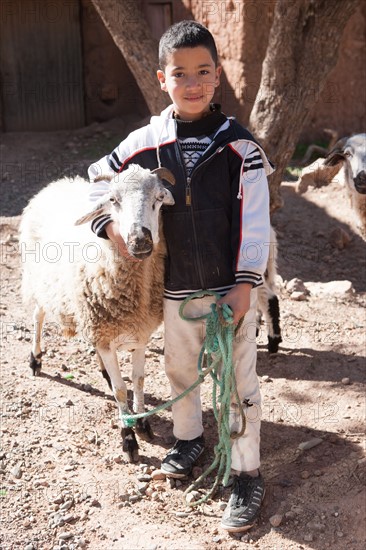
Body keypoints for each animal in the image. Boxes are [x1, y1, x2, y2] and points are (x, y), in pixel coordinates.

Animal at [19, 166, 176, 464]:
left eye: (159, 198)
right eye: (113, 200)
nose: (140, 240)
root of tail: (56, 184)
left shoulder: (140, 332)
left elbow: (138, 379)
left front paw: (142, 422)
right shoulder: (105, 331)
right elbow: (120, 389)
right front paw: (128, 439)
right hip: (39, 279)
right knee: (37, 315)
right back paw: (35, 359)